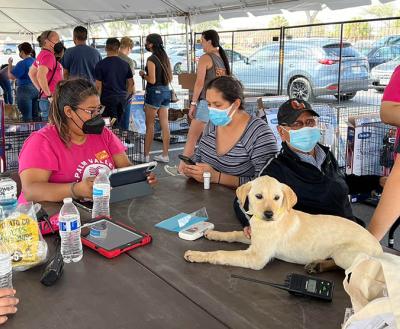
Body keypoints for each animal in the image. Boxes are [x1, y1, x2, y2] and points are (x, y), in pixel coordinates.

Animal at [183, 176, 382, 270]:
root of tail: (379, 247)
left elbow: (221, 254)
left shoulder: (256, 257)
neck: (265, 223)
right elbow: (234, 234)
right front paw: (214, 233)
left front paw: (197, 255)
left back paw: (319, 264)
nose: (269, 214)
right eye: (259, 196)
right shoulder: (254, 238)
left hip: (343, 254)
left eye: (277, 198)